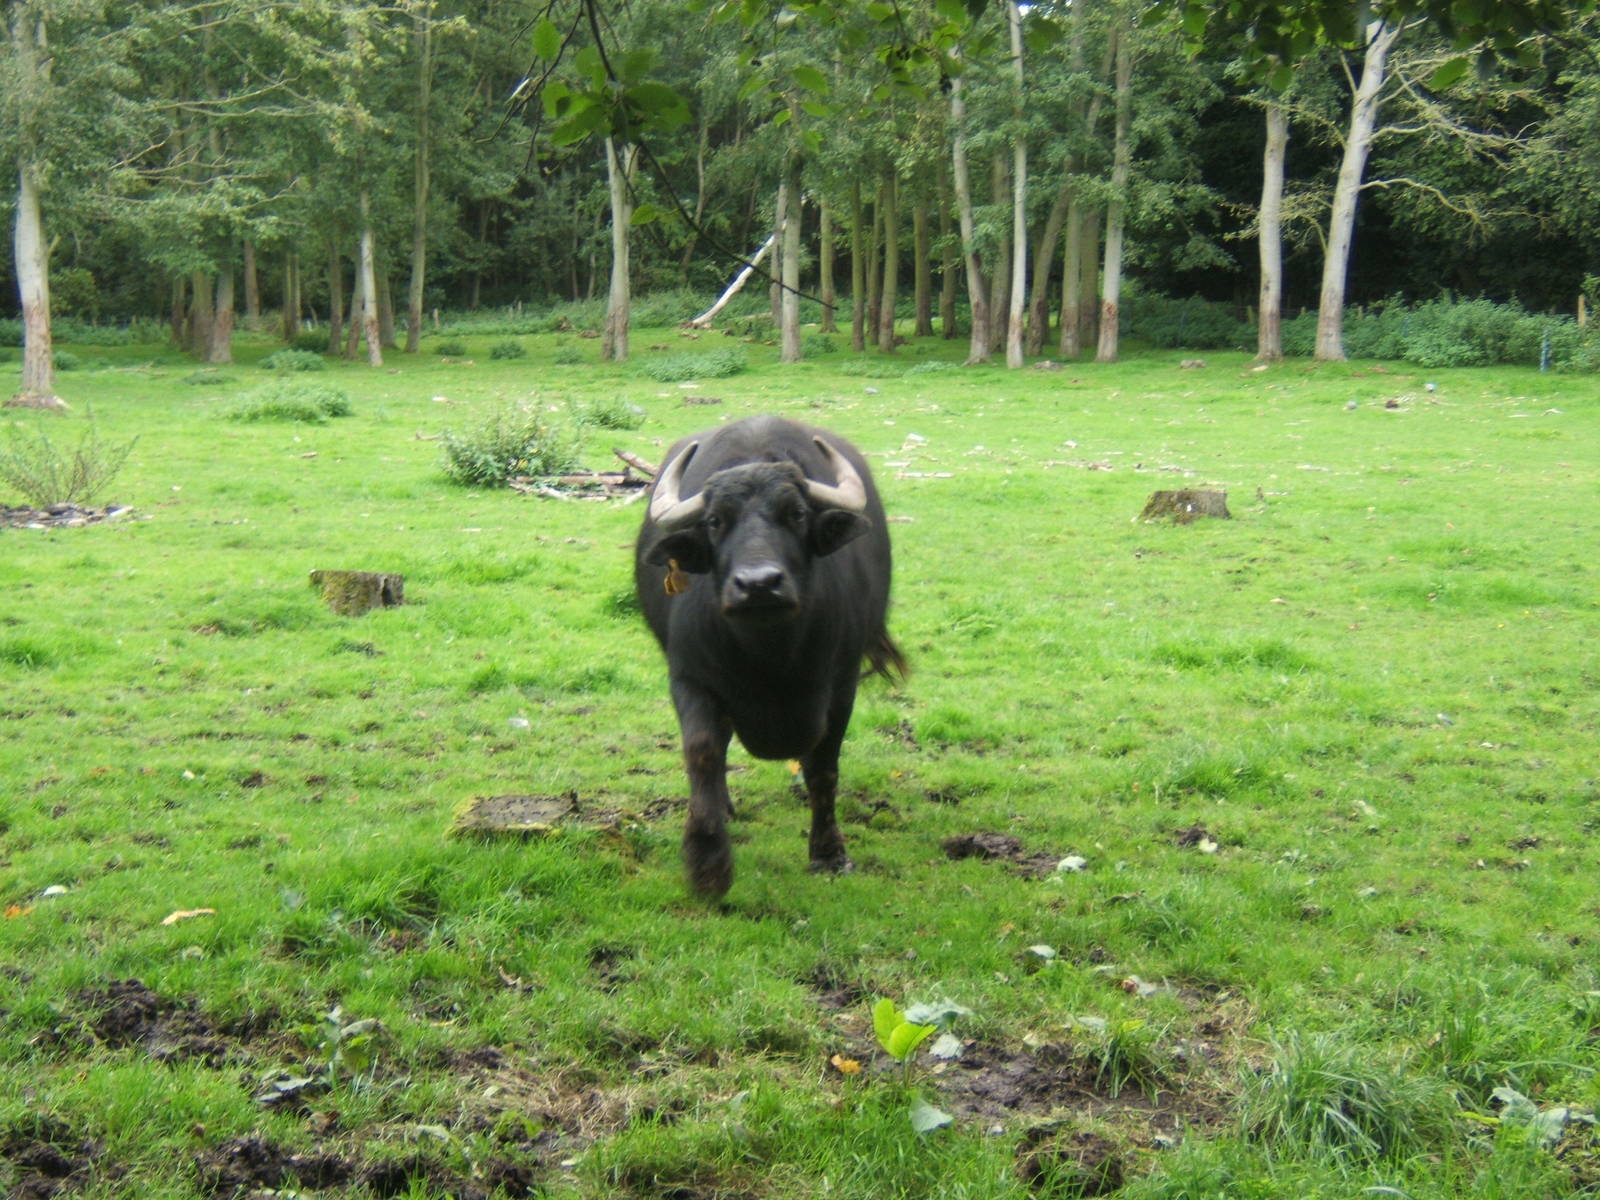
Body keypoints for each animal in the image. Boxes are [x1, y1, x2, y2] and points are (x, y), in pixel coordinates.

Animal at [635, 415, 905, 898]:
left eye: (796, 514)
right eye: (715, 521)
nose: (758, 584)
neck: (770, 658)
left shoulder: (841, 685)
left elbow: (823, 767)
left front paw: (829, 854)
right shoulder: (689, 677)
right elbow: (703, 750)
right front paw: (707, 863)